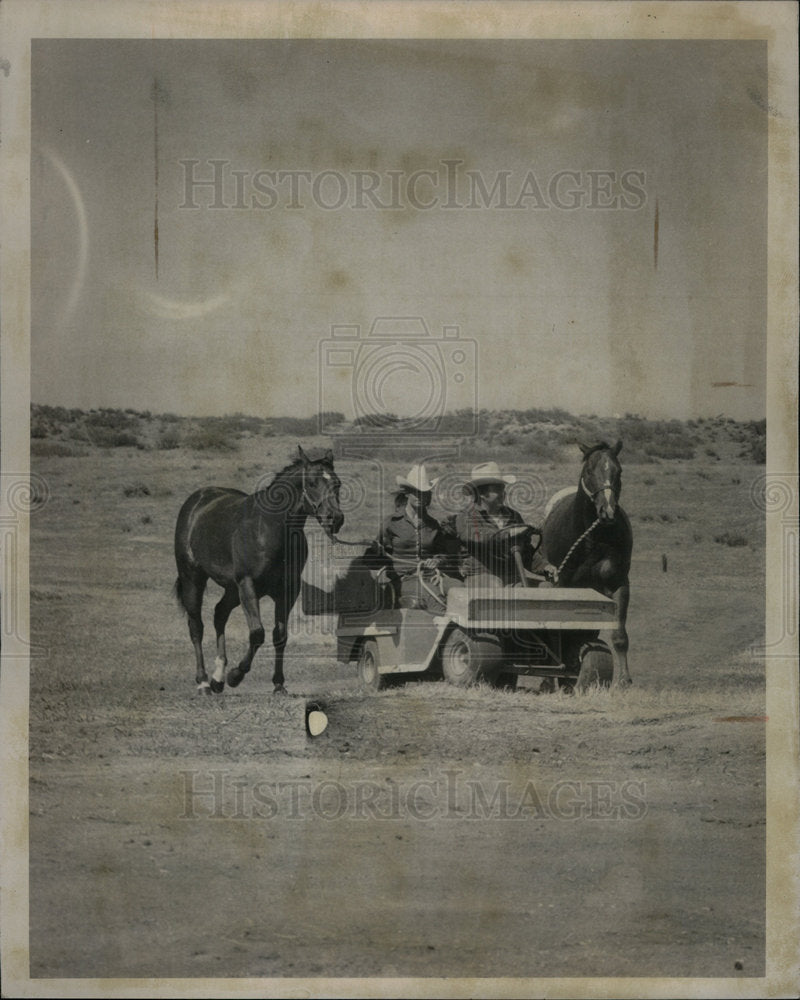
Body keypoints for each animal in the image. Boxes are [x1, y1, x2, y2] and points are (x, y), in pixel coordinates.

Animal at [173, 448, 342, 696]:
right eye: (311, 483)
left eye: (337, 484)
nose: (335, 519)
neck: (269, 529)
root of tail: (197, 501)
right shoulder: (248, 585)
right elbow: (257, 633)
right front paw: (236, 675)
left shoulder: (287, 591)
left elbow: (280, 635)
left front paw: (278, 684)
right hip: (194, 579)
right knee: (196, 627)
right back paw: (203, 682)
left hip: (232, 590)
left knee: (219, 614)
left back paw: (217, 678)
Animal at [540, 440, 636, 688]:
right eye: (589, 471)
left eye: (619, 471)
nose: (608, 511)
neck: (592, 538)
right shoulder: (562, 586)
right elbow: (559, 630)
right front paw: (551, 678)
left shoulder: (618, 585)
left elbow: (619, 636)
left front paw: (624, 681)